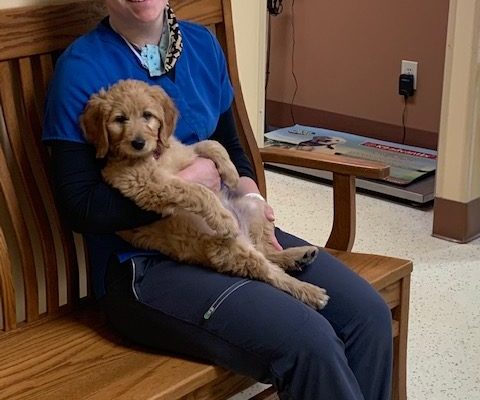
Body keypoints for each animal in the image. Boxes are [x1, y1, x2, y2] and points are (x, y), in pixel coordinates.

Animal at [81, 79, 330, 310]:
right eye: (119, 119)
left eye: (147, 115)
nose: (138, 143)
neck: (156, 155)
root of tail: (244, 238)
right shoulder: (147, 185)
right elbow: (197, 189)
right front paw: (223, 219)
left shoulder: (184, 151)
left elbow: (211, 144)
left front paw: (231, 174)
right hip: (232, 249)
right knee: (271, 271)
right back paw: (309, 290)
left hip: (253, 208)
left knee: (266, 251)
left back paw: (299, 255)